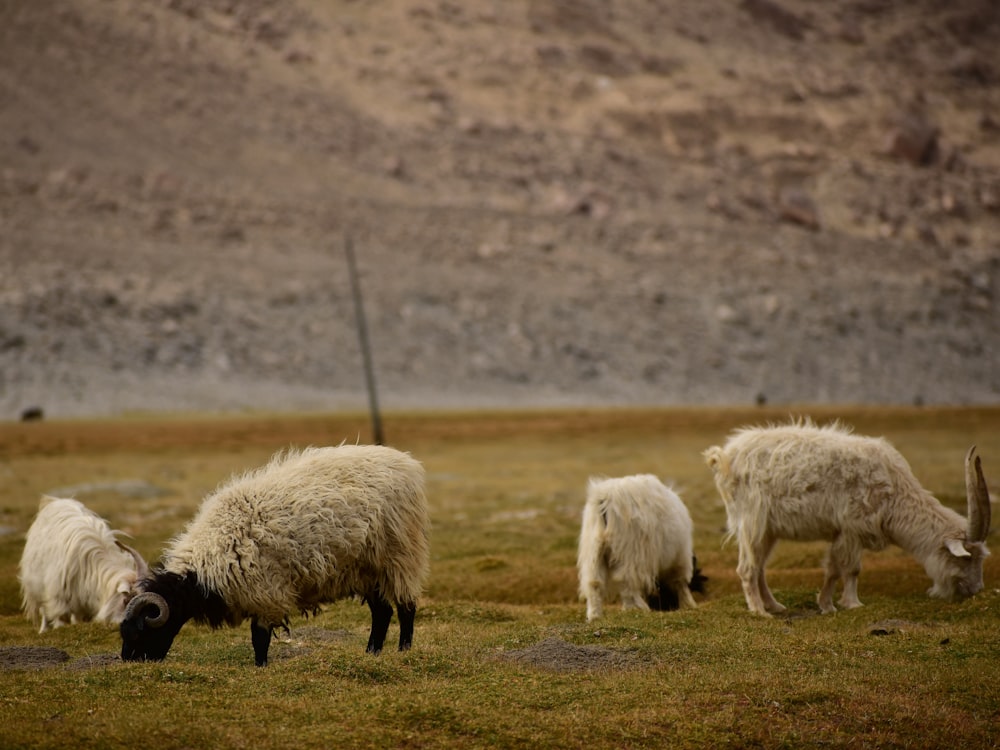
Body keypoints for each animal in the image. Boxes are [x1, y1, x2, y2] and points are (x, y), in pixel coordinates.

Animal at [18, 500, 149, 636]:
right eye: (126, 601)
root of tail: (55, 501)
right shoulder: (58, 597)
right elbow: (60, 616)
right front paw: (59, 628)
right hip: (37, 588)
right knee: (44, 610)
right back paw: (43, 630)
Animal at [119, 444, 432, 668]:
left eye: (140, 631)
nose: (128, 662)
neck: (206, 564)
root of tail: (408, 464)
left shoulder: (264, 594)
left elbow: (259, 638)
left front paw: (261, 667)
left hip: (400, 555)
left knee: (405, 607)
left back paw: (403, 650)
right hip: (366, 569)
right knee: (382, 612)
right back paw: (372, 653)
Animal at [576, 476, 700, 624]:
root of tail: (605, 498)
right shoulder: (680, 559)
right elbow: (681, 583)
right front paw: (688, 604)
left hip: (594, 552)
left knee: (594, 582)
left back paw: (594, 615)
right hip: (630, 553)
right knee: (625, 581)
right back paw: (634, 608)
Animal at [704, 420, 992, 620]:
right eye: (966, 559)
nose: (976, 589)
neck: (895, 491)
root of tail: (725, 457)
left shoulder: (842, 532)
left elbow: (834, 569)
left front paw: (827, 605)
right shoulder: (852, 528)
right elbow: (850, 569)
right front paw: (851, 604)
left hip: (768, 529)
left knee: (759, 566)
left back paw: (774, 605)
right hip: (753, 521)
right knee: (747, 568)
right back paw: (759, 611)